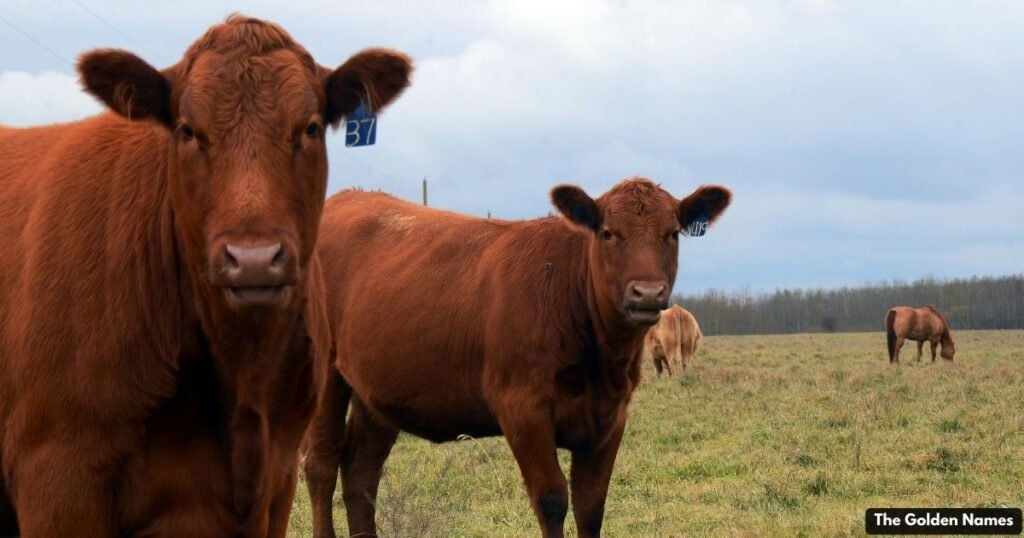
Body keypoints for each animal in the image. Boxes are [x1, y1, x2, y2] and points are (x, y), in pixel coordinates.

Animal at [303, 178, 731, 537]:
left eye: (672, 233)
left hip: (377, 392)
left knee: (360, 473)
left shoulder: (611, 417)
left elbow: (591, 507)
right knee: (321, 465)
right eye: (608, 233)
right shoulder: (523, 409)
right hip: (323, 376)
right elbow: (552, 499)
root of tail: (347, 197)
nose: (647, 293)